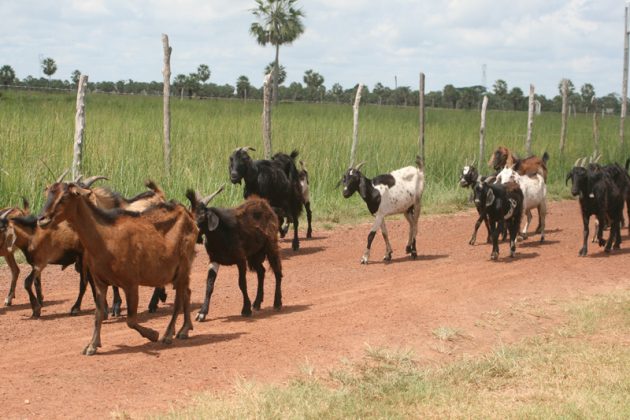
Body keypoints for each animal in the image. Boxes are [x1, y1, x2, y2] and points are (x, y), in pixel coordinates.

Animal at [39, 182, 198, 356]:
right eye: (48, 194)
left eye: (64, 197)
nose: (42, 219)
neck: (105, 236)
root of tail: (188, 214)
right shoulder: (100, 283)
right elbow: (98, 315)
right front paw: (92, 345)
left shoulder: (131, 283)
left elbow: (131, 320)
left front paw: (153, 334)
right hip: (180, 272)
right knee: (187, 292)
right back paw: (184, 330)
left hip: (183, 266)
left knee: (178, 300)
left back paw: (168, 334)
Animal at [183, 185, 282, 320]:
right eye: (190, 215)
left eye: (202, 217)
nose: (192, 232)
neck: (221, 236)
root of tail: (265, 204)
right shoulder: (214, 259)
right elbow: (209, 285)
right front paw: (202, 313)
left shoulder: (240, 259)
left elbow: (242, 283)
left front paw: (246, 309)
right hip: (254, 254)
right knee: (261, 272)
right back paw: (257, 303)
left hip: (270, 246)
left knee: (277, 272)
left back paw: (277, 303)